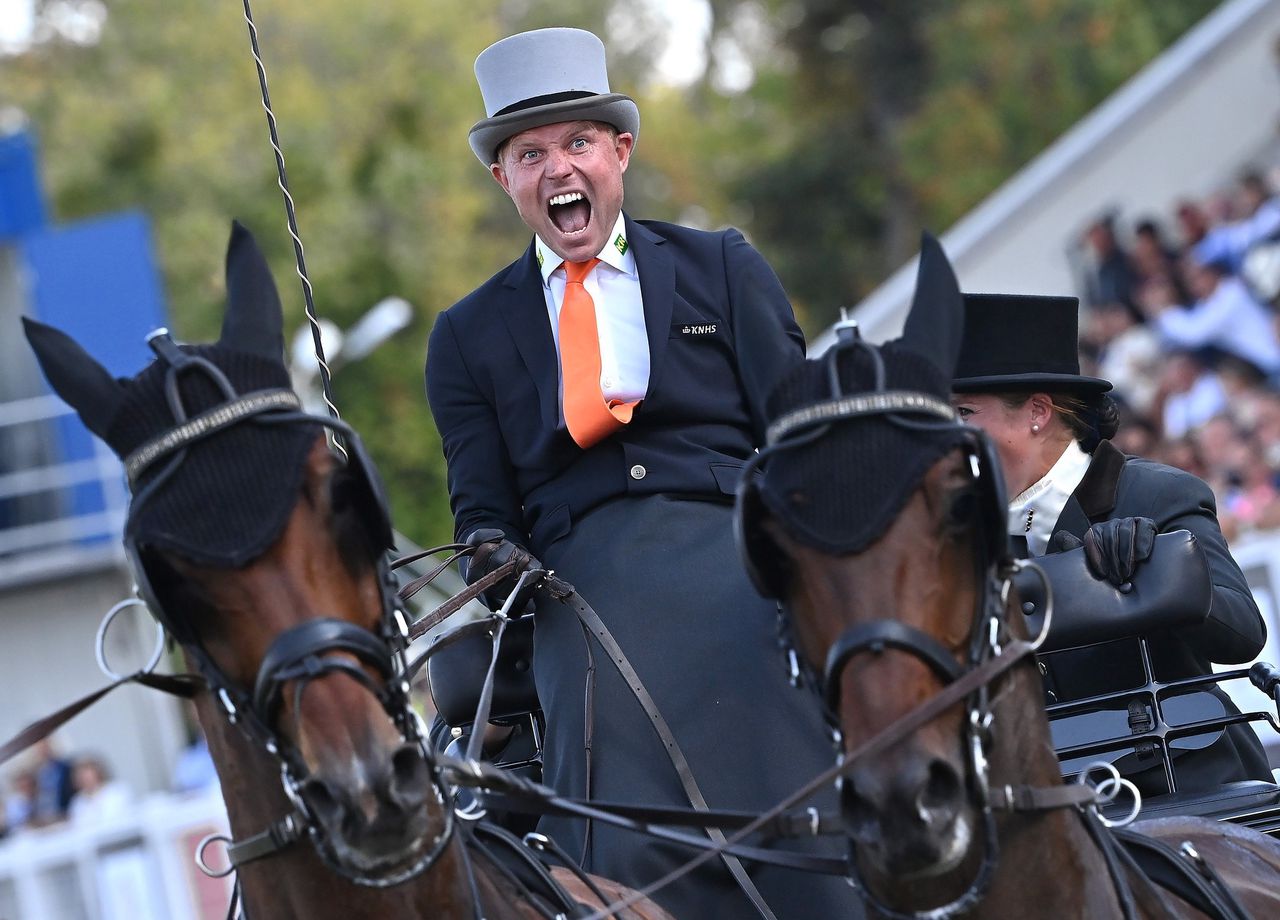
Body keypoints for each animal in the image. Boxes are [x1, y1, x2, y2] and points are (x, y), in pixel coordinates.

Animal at [732, 235, 1280, 916]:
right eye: (775, 551)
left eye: (961, 505)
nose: (899, 802)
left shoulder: (1186, 504)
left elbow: (1237, 617)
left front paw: (1120, 543)